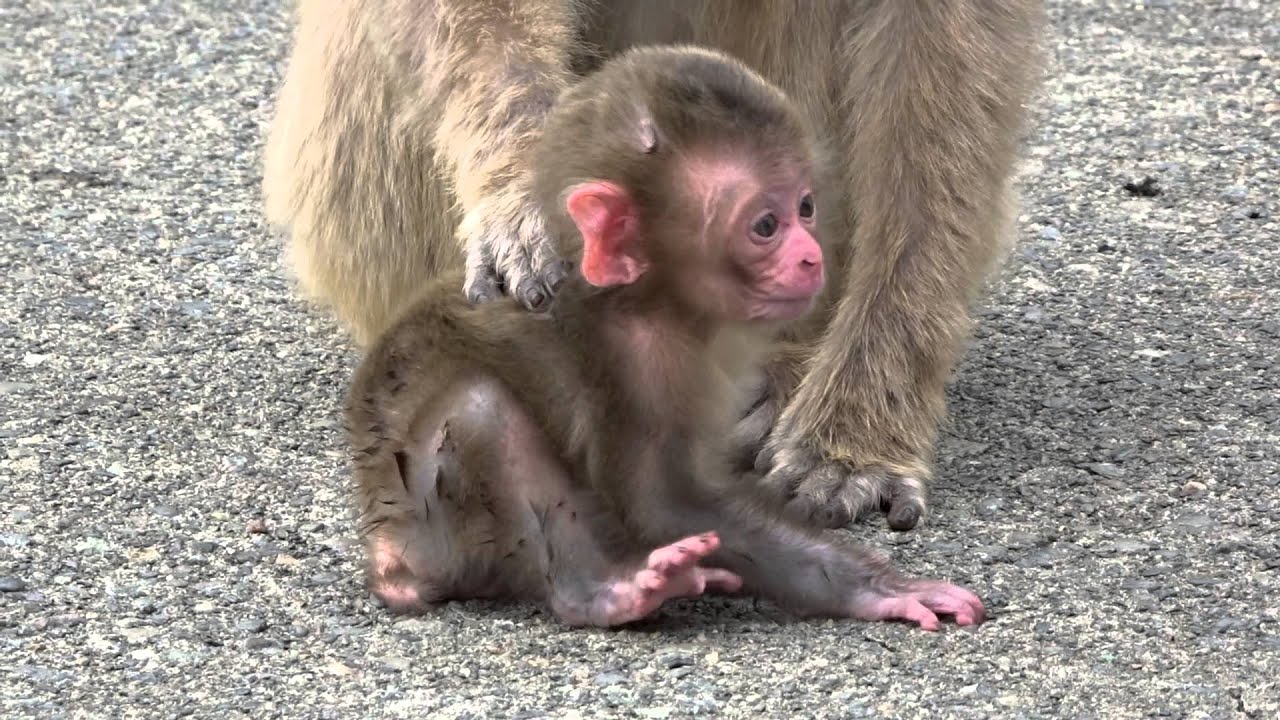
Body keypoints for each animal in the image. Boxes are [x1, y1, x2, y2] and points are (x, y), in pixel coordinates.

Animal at [346, 47, 986, 630]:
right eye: (765, 225)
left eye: (805, 207)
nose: (811, 257)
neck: (638, 296)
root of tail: (391, 554)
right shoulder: (643, 359)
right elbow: (662, 505)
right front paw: (881, 590)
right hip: (438, 529)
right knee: (481, 412)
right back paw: (600, 593)